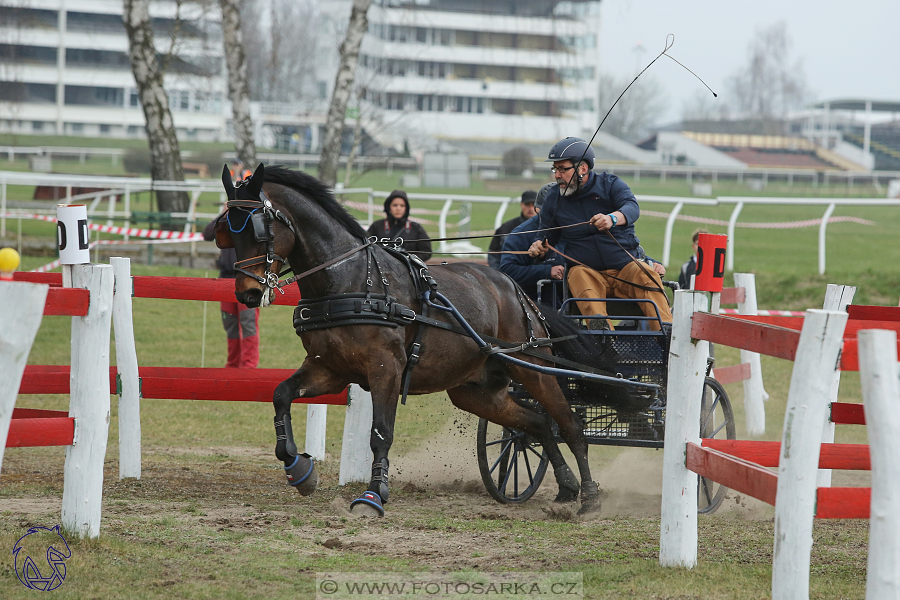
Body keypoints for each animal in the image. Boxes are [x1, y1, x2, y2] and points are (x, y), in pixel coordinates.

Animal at [218, 164, 624, 516]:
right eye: (226, 231)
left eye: (257, 230)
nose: (247, 294)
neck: (351, 280)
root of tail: (515, 290)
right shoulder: (328, 369)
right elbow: (281, 395)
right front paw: (298, 470)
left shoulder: (386, 369)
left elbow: (380, 434)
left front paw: (373, 494)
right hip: (476, 391)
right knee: (535, 424)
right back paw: (566, 485)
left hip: (533, 367)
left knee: (569, 424)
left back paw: (589, 498)